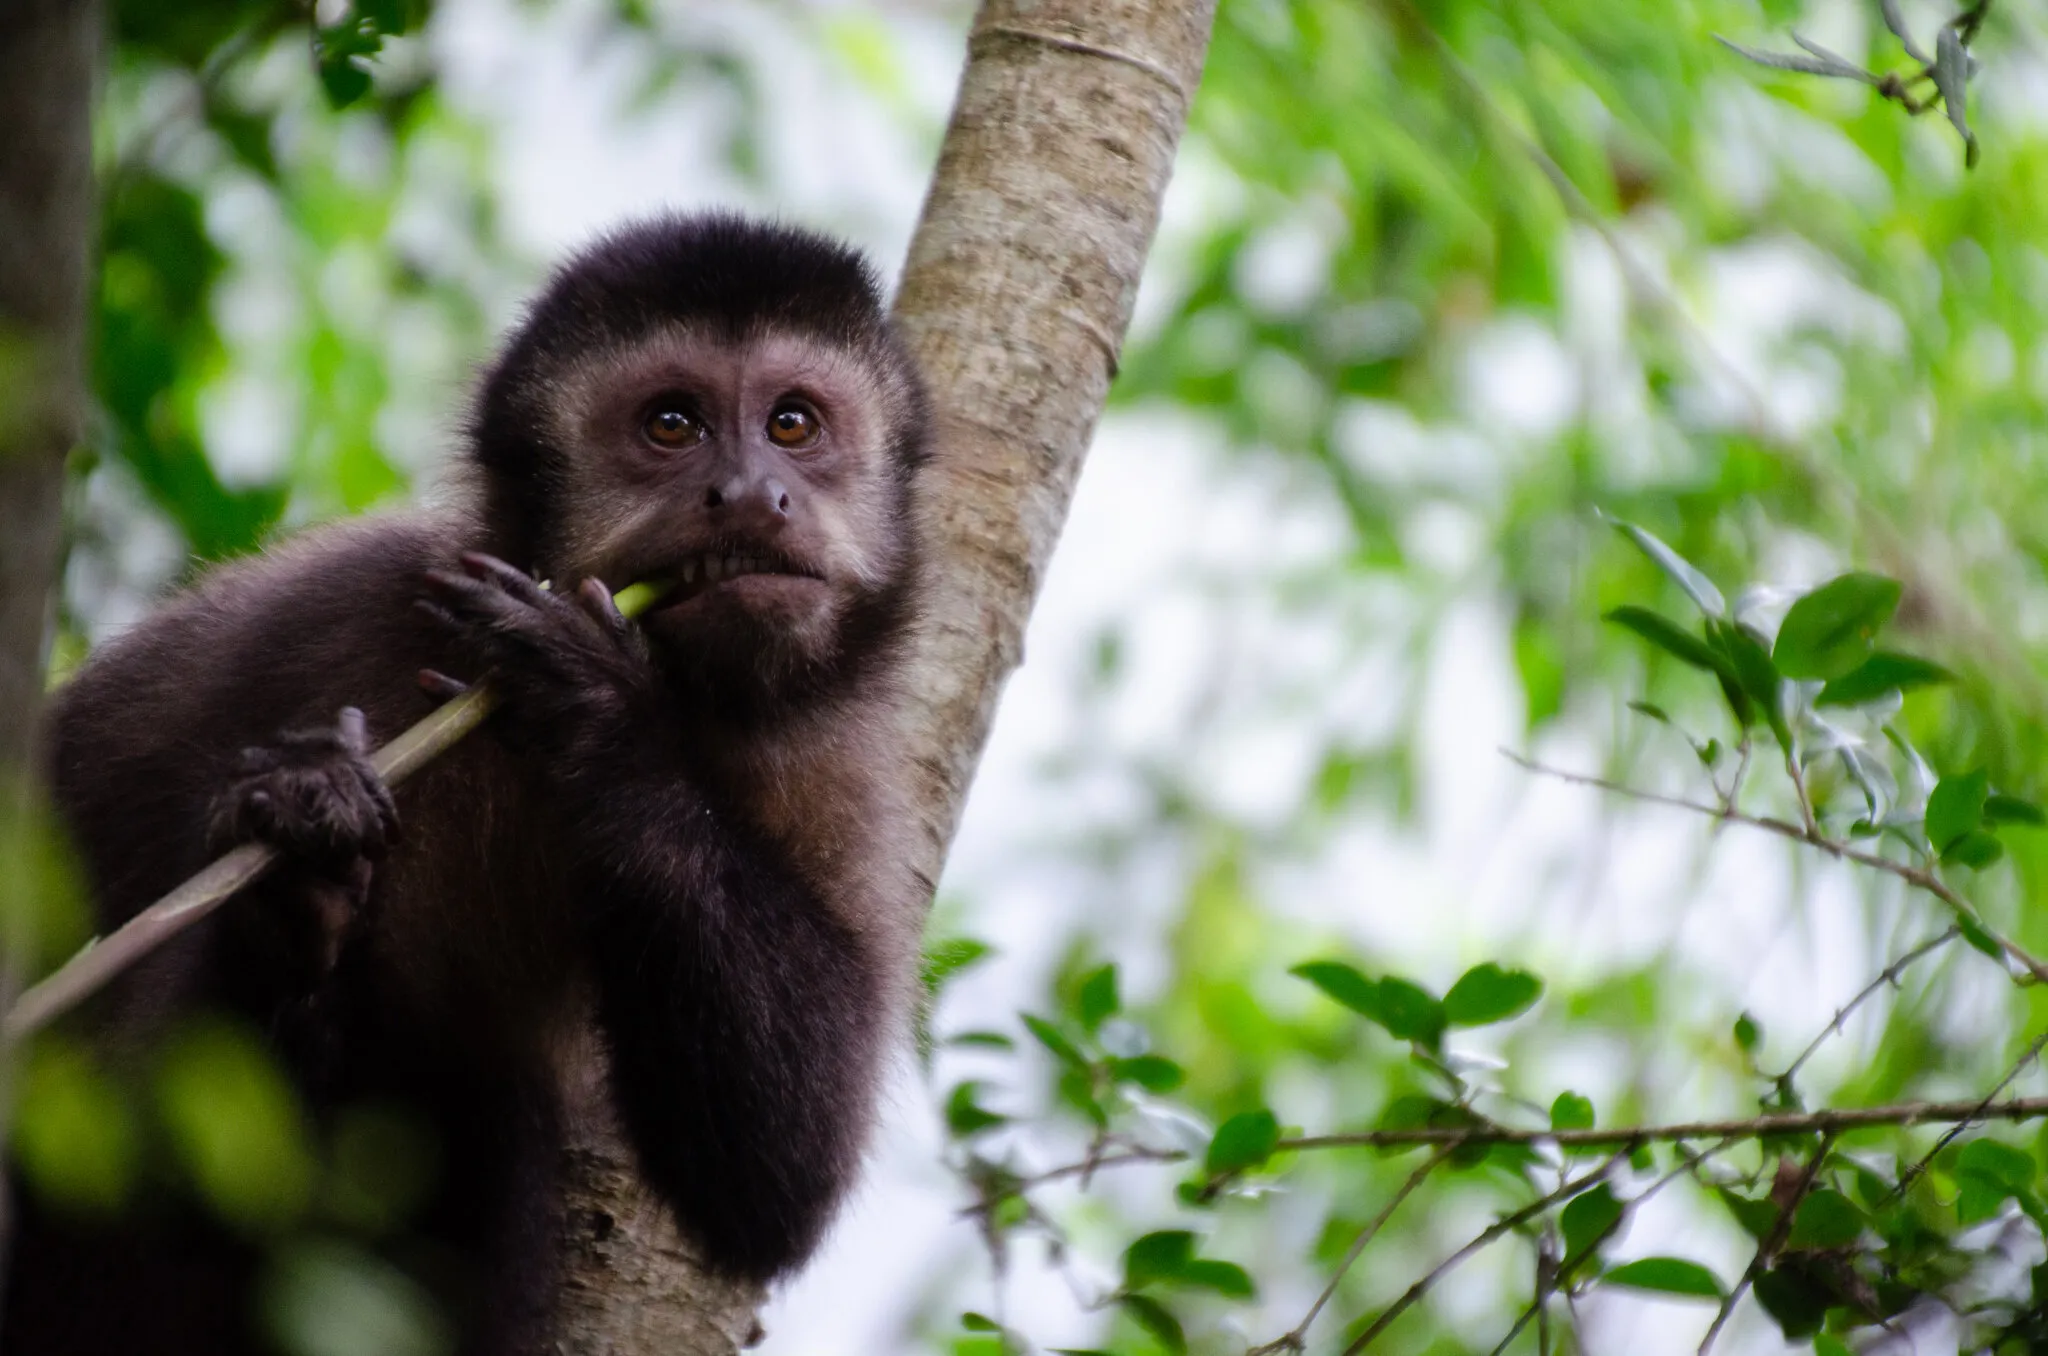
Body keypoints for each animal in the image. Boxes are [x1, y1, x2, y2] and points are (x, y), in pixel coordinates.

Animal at [2, 212, 932, 1356]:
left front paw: (594, 709)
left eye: (792, 424)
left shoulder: (843, 764)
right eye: (672, 425)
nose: (754, 492)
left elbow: (776, 1174)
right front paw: (295, 865)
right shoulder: (349, 598)